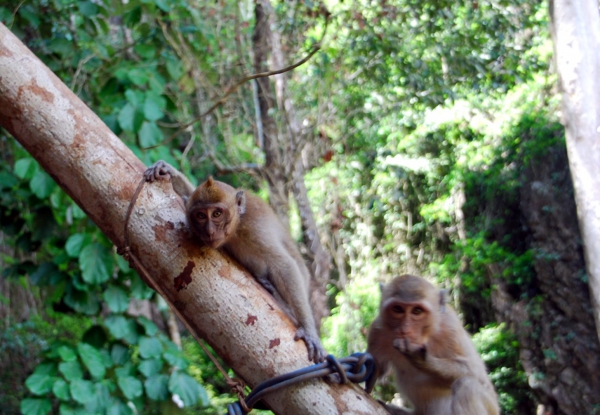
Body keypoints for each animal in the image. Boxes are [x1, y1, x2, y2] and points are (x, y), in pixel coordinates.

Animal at [143, 161, 326, 362]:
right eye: (201, 215)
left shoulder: (255, 229)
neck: (237, 225)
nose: (209, 231)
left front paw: (309, 332)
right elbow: (190, 193)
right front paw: (167, 170)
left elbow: (284, 266)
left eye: (217, 214)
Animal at [366, 274, 502, 414]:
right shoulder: (377, 330)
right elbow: (377, 371)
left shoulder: (450, 326)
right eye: (398, 309)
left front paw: (423, 360)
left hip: (492, 409)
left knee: (467, 386)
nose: (405, 330)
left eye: (417, 311)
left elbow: (474, 371)